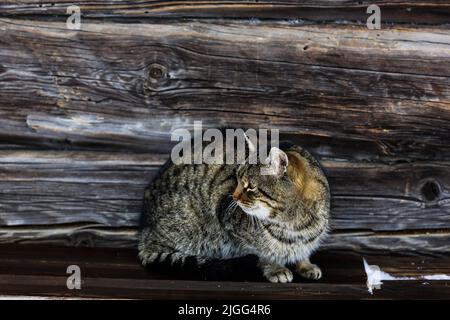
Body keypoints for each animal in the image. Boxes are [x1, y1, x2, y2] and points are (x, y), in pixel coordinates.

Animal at [138, 140, 330, 282]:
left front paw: (305, 264)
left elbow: (303, 249)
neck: (293, 224)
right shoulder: (231, 224)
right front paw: (274, 268)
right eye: (236, 179)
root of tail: (145, 230)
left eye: (250, 186)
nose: (234, 196)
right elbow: (262, 253)